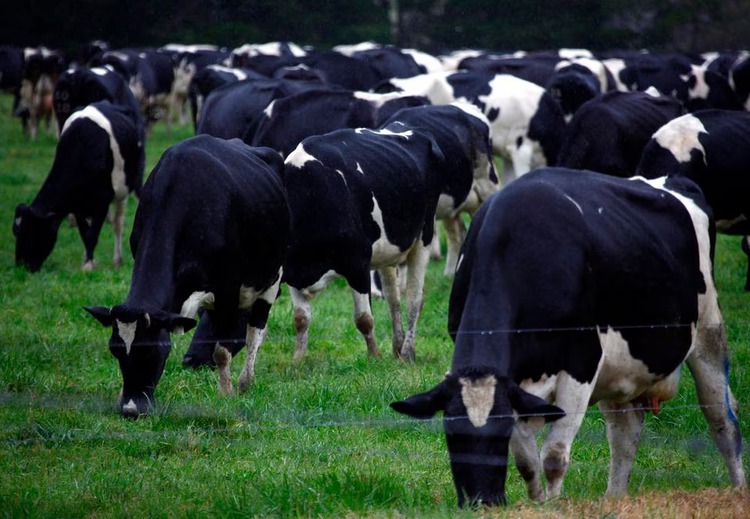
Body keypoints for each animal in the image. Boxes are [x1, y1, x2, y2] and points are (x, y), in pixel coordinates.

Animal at [13, 101, 143, 272]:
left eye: (33, 231)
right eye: (16, 232)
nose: (21, 266)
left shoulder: (102, 200)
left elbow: (92, 234)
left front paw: (88, 265)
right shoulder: (77, 204)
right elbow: (84, 233)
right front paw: (89, 260)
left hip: (127, 185)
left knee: (118, 223)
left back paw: (117, 259)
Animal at [85, 135, 291, 417]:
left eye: (152, 351)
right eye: (115, 351)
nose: (131, 410)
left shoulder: (228, 286)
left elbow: (222, 350)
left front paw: (225, 394)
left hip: (271, 276)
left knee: (254, 332)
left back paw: (244, 382)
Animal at [283, 124, 446, 363]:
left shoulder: (357, 263)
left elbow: (363, 318)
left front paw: (374, 356)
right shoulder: (293, 273)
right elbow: (300, 319)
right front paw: (297, 360)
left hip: (423, 237)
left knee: (414, 299)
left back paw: (407, 352)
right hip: (387, 251)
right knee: (393, 299)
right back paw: (397, 347)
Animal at [391, 167, 746, 507]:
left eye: (499, 434)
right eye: (451, 435)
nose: (482, 501)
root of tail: (671, 180)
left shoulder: (581, 365)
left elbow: (553, 457)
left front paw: (553, 504)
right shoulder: (516, 387)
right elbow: (526, 461)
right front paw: (537, 503)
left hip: (709, 331)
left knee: (722, 419)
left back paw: (738, 489)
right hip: (621, 370)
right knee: (625, 432)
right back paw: (614, 498)